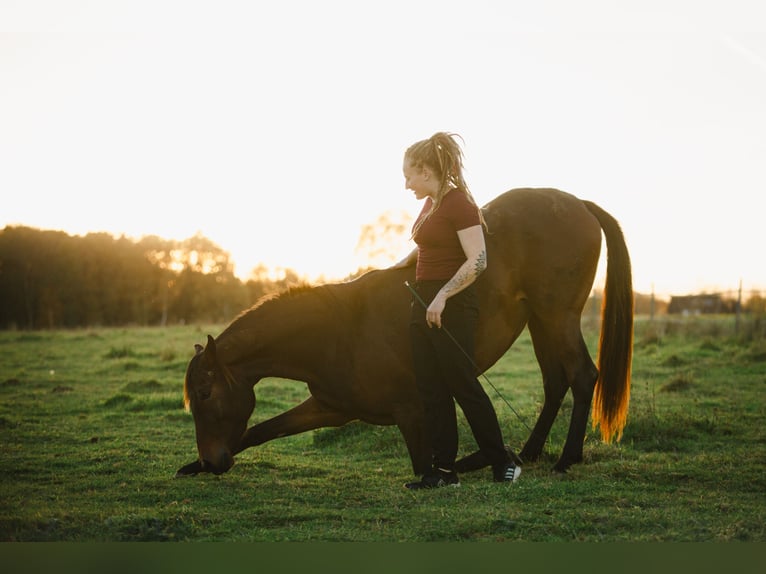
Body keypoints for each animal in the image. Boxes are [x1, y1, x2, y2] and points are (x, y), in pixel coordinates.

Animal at [177, 187, 632, 480]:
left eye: (205, 393)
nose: (213, 460)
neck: (336, 333)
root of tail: (577, 203)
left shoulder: (411, 412)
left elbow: (424, 465)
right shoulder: (330, 408)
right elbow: (260, 430)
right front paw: (191, 466)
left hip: (557, 317)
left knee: (581, 377)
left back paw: (562, 459)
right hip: (540, 321)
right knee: (555, 383)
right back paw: (526, 453)